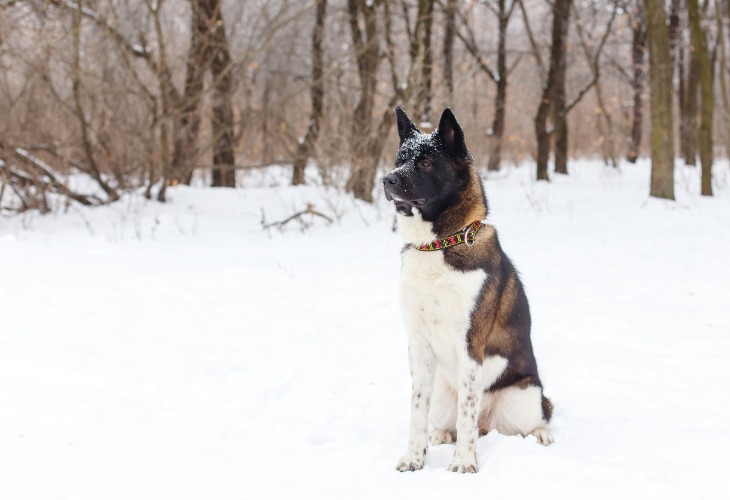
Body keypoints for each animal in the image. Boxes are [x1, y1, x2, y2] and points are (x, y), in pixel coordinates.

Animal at [382, 106, 552, 472]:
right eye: (400, 159)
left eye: (426, 162)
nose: (387, 180)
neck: (438, 245)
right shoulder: (418, 346)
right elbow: (417, 409)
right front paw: (414, 457)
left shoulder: (470, 344)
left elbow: (467, 413)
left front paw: (464, 462)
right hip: (443, 393)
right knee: (451, 420)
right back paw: (440, 436)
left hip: (524, 396)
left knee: (537, 416)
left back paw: (541, 434)